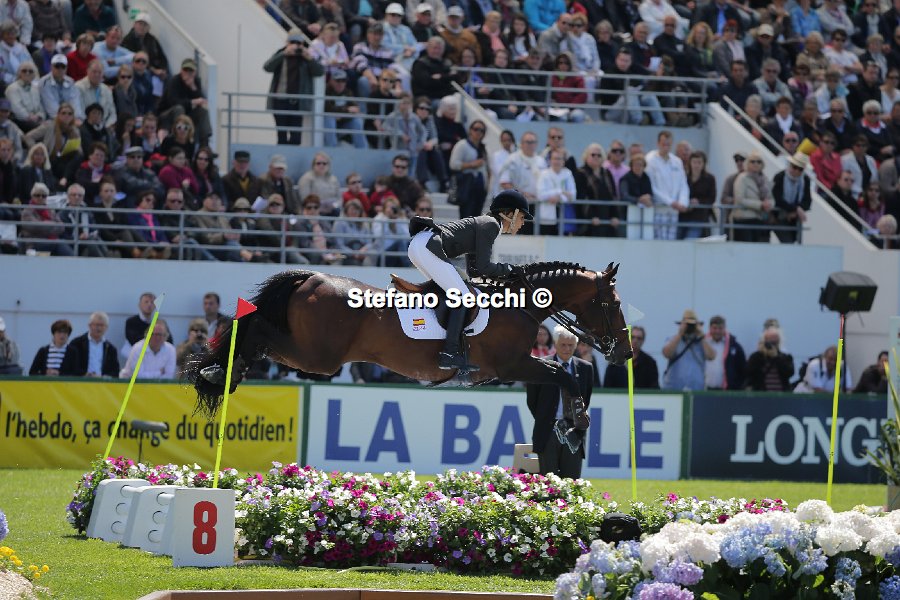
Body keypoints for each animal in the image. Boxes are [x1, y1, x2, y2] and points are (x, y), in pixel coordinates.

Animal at [186, 261, 632, 428]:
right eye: (613, 304)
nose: (624, 353)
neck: (519, 304)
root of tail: (310, 278)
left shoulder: (515, 367)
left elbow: (560, 374)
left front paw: (573, 422)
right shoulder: (512, 365)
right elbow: (561, 374)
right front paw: (576, 424)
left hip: (313, 354)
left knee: (258, 335)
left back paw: (225, 371)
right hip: (318, 357)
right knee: (259, 330)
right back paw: (217, 369)